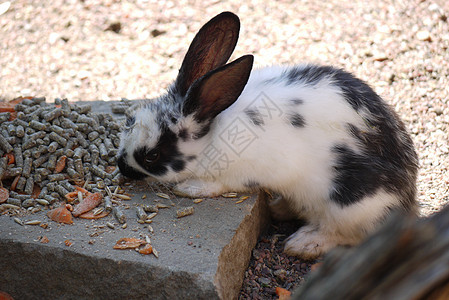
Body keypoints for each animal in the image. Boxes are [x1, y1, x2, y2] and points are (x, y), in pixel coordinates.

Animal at [117, 11, 418, 258]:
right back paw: (278, 208)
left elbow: (221, 184)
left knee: (345, 234)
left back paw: (302, 244)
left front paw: (190, 188)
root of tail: (406, 205)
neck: (212, 132)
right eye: (130, 120)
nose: (122, 167)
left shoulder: (246, 171)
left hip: (349, 204)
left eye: (152, 155)